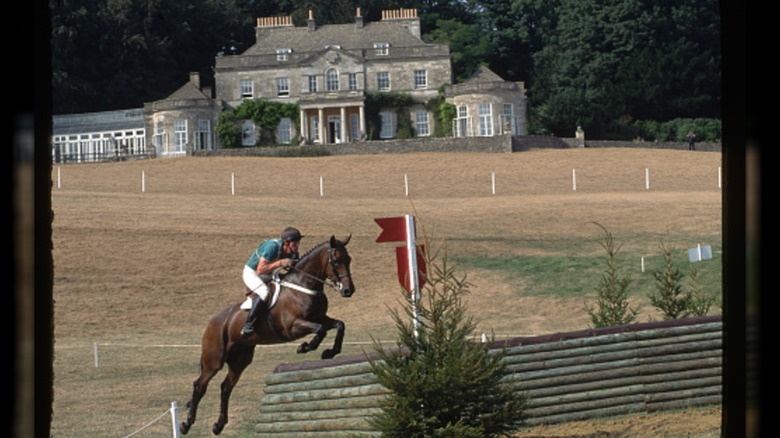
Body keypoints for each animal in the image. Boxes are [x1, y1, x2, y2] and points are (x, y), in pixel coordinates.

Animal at [178, 234, 354, 432]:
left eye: (349, 259)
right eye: (337, 260)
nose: (348, 290)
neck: (303, 285)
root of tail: (212, 322)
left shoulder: (320, 317)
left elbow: (339, 325)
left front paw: (330, 352)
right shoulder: (292, 327)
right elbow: (321, 330)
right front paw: (305, 347)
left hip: (240, 360)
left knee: (225, 387)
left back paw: (219, 425)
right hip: (214, 360)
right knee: (200, 385)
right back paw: (186, 424)